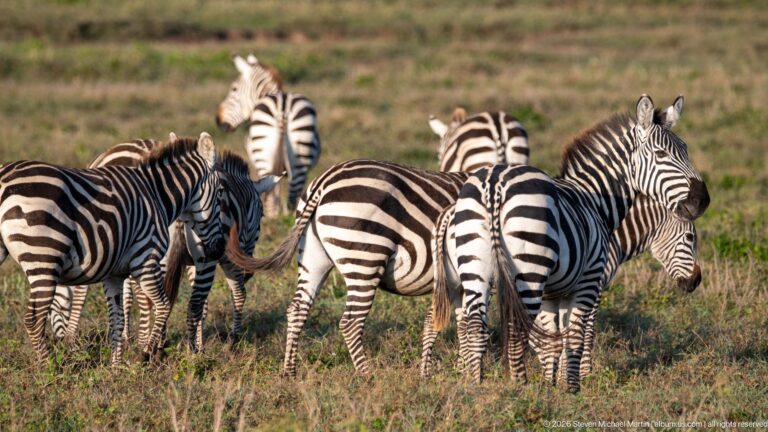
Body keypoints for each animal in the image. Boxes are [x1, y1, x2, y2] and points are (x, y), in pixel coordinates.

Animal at [0, 133, 226, 365]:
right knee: (34, 320)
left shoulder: (114, 274)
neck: (157, 195)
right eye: (220, 192)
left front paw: (116, 366)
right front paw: (145, 353)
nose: (218, 249)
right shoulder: (146, 259)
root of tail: (5, 177)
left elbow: (117, 319)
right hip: (43, 257)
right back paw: (49, 367)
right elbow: (163, 305)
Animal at [48, 138, 281, 351]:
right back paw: (173, 349)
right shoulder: (217, 257)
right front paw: (228, 343)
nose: (249, 272)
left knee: (106, 291)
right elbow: (235, 295)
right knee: (184, 301)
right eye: (261, 216)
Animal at [216, 54, 321, 217]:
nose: (218, 120)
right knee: (292, 199)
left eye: (234, 89)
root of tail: (283, 108)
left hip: (263, 157)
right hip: (301, 157)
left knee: (272, 200)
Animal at [225, 159, 470, 376]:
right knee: (351, 321)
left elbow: (459, 321)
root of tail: (324, 181)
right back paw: (367, 375)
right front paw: (465, 374)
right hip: (366, 257)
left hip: (312, 257)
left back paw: (289, 372)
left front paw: (459, 370)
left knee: (297, 309)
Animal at [434, 95, 709, 390]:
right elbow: (580, 333)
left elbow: (555, 337)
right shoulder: (591, 281)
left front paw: (552, 381)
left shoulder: (555, 292)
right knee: (516, 329)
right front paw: (576, 383)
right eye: (661, 155)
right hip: (529, 273)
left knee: (475, 326)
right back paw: (520, 387)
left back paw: (475, 384)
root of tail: (494, 183)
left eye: (686, 150)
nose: (703, 199)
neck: (598, 202)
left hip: (475, 269)